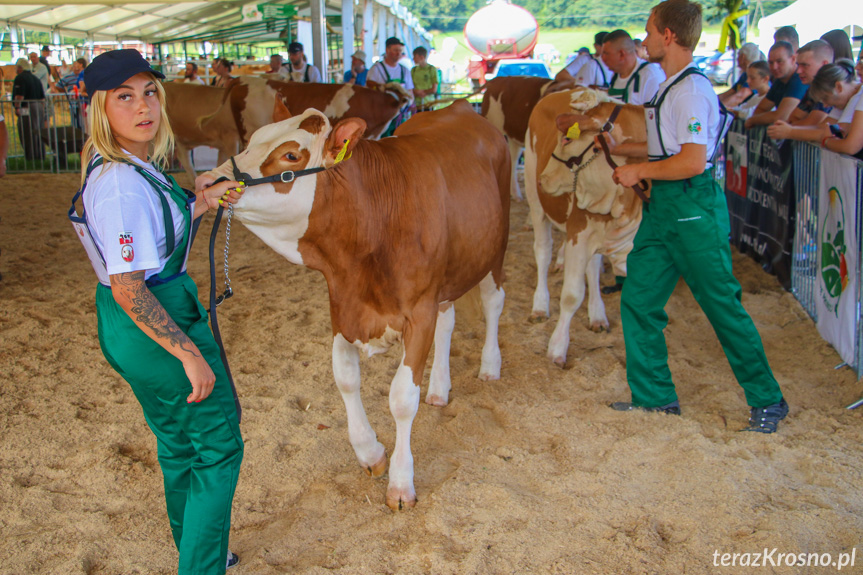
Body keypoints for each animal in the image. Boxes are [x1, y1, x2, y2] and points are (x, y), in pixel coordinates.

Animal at [206, 101, 510, 510]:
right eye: (252, 139)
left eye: (291, 155)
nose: (209, 182)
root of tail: (460, 106)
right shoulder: (343, 306)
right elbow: (346, 378)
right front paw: (371, 453)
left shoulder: (419, 311)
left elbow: (401, 398)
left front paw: (401, 483)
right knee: (448, 320)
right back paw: (438, 389)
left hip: (494, 248)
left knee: (494, 302)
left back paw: (490, 366)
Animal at [520, 89, 648, 368]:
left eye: (568, 138)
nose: (543, 179)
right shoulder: (579, 233)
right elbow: (571, 295)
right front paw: (557, 348)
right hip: (535, 202)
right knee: (543, 251)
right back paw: (540, 305)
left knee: (593, 266)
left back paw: (597, 315)